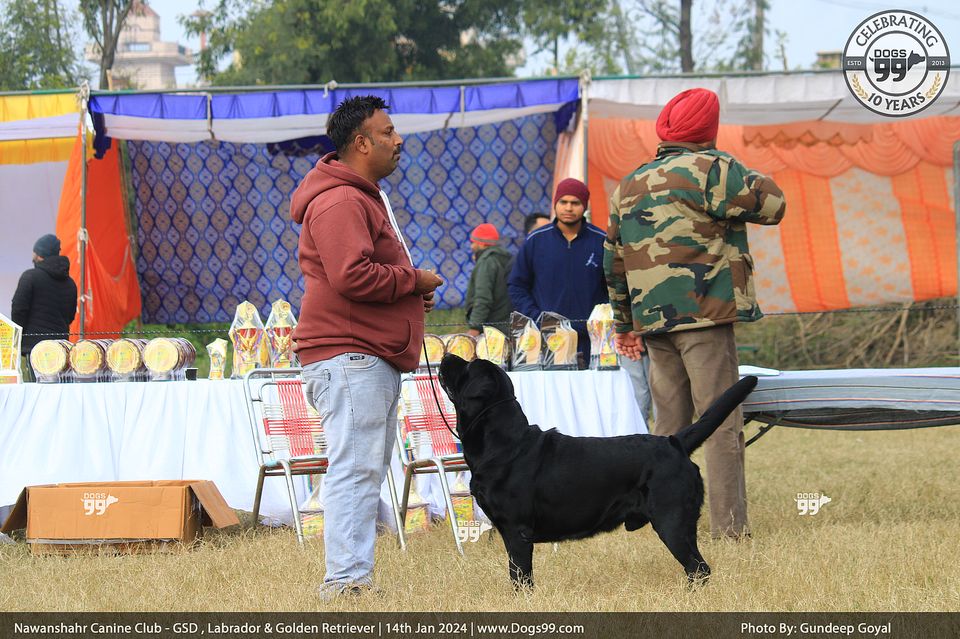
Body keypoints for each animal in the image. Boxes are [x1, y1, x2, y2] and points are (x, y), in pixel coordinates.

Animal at [437, 353, 758, 588]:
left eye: (468, 366)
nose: (447, 354)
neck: (503, 443)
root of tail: (674, 442)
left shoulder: (517, 530)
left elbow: (520, 576)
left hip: (672, 520)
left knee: (699, 567)